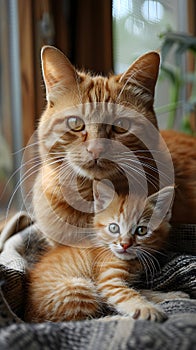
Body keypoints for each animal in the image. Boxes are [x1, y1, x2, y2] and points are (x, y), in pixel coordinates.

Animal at [24, 183, 178, 322]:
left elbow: (144, 292)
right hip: (78, 286)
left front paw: (172, 295)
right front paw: (147, 309)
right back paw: (118, 319)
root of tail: (30, 313)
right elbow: (128, 294)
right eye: (114, 228)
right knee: (80, 321)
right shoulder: (109, 280)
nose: (125, 244)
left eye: (142, 230)